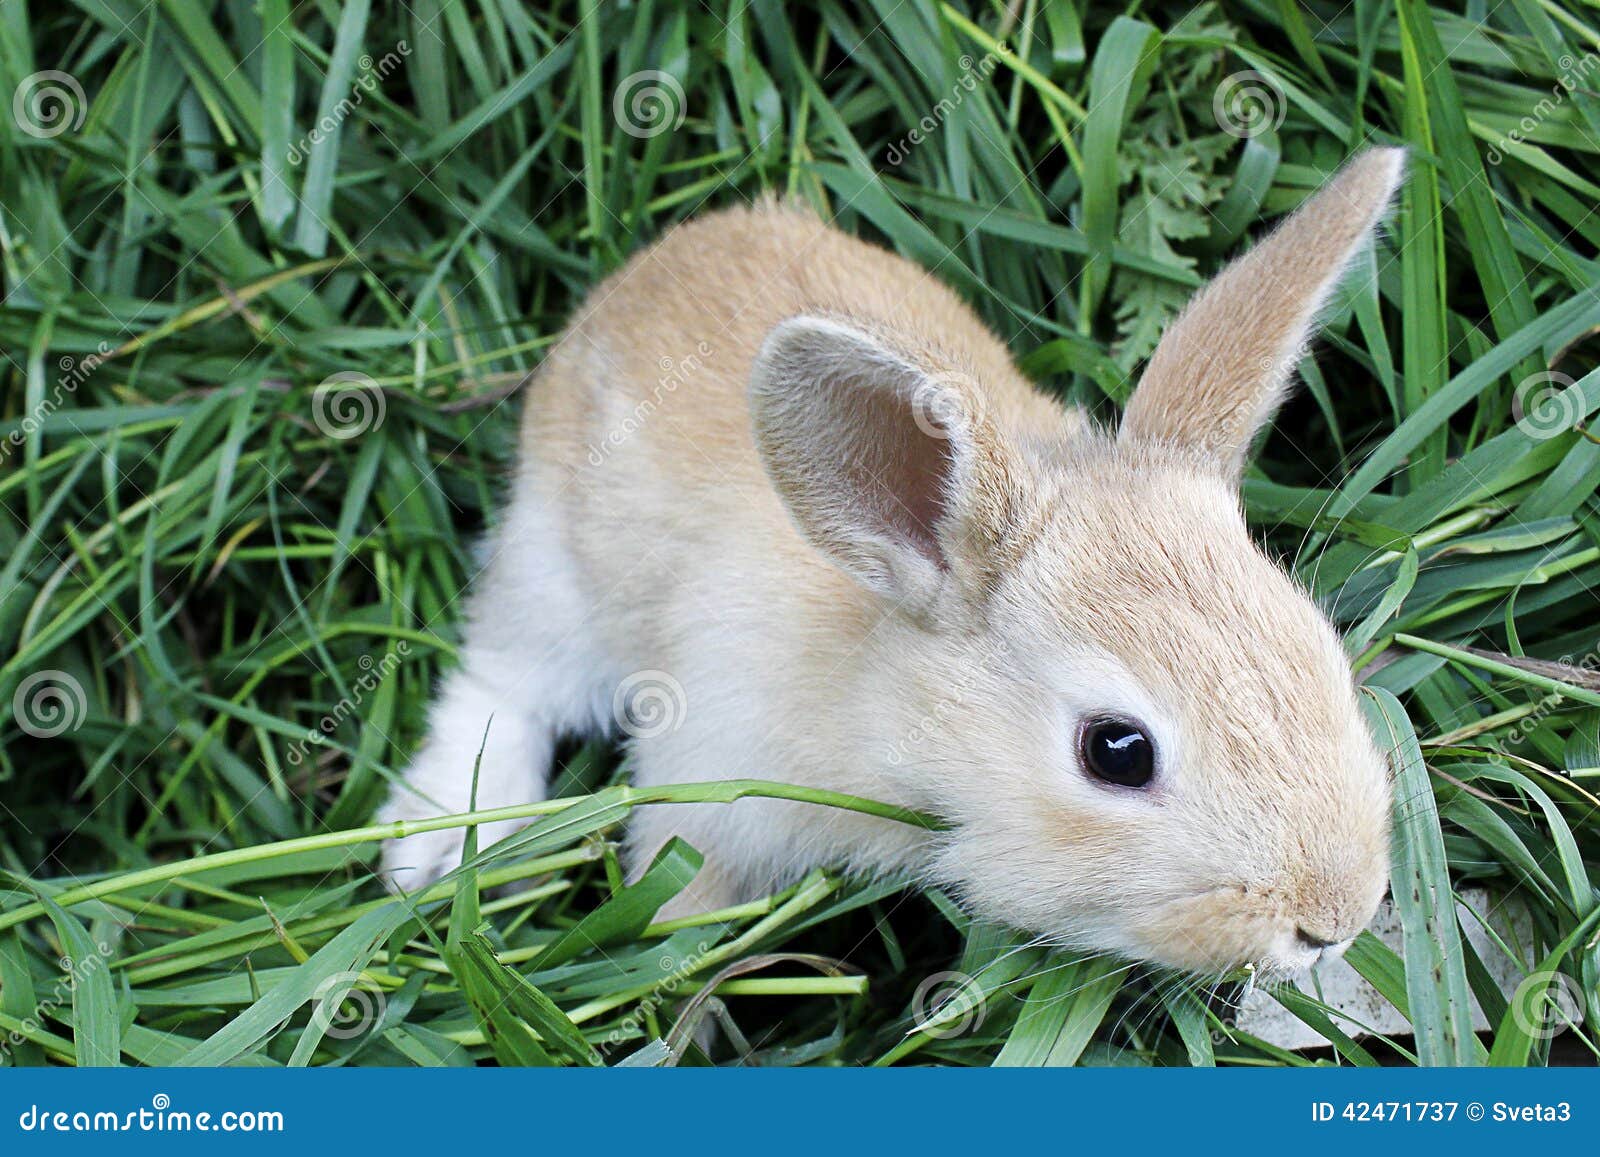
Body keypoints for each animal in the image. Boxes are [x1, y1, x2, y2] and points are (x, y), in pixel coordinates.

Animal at [379, 147, 1405, 980]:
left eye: (1325, 657)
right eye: (1117, 751)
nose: (1334, 920)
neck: (887, 701)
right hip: (555, 575)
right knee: (502, 683)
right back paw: (430, 848)